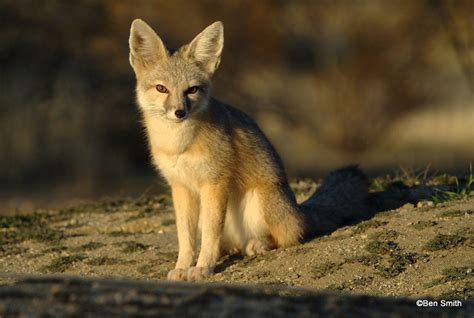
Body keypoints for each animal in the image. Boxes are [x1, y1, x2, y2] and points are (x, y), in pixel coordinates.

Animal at [129, 19, 370, 280]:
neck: (178, 145)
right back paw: (230, 249)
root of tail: (299, 210)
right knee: (232, 242)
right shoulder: (181, 187)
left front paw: (203, 267)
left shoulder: (215, 182)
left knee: (289, 237)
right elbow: (186, 238)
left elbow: (211, 234)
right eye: (161, 89)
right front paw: (183, 266)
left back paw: (257, 244)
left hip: (259, 202)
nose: (179, 112)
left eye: (191, 90)